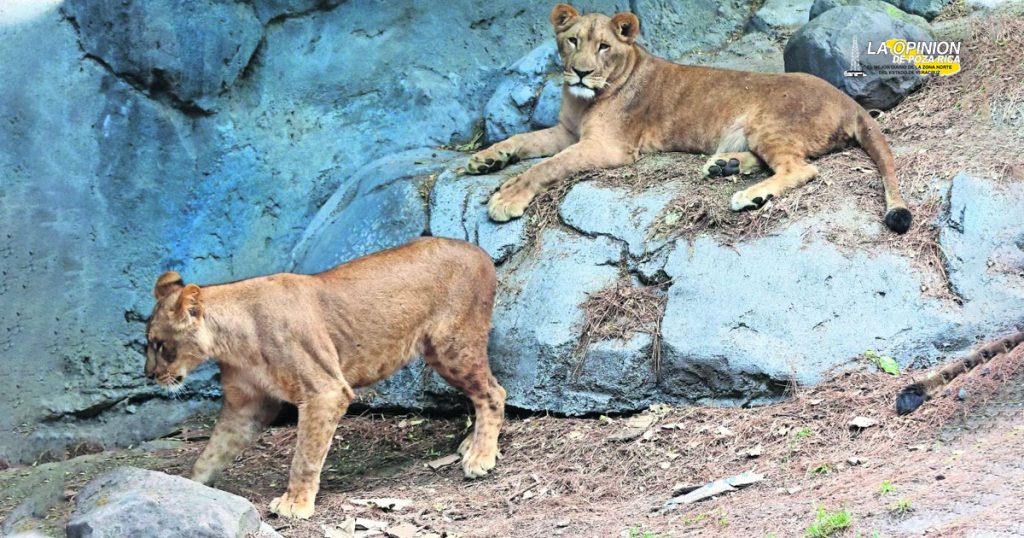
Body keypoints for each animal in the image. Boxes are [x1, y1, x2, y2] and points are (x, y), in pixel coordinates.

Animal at [144, 237, 505, 519]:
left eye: (160, 345)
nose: (148, 376)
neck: (232, 342)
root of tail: (478, 250)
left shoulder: (325, 391)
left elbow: (305, 455)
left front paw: (295, 504)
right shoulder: (246, 404)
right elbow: (213, 451)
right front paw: (188, 488)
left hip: (451, 346)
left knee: (493, 392)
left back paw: (480, 456)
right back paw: (470, 445)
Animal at [468, 3, 913, 234]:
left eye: (604, 47)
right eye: (573, 40)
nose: (579, 72)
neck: (583, 101)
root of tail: (847, 99)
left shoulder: (607, 147)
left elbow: (547, 167)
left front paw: (506, 198)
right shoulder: (566, 131)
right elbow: (521, 142)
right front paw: (484, 159)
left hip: (767, 123)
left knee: (802, 169)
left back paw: (748, 194)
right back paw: (724, 165)